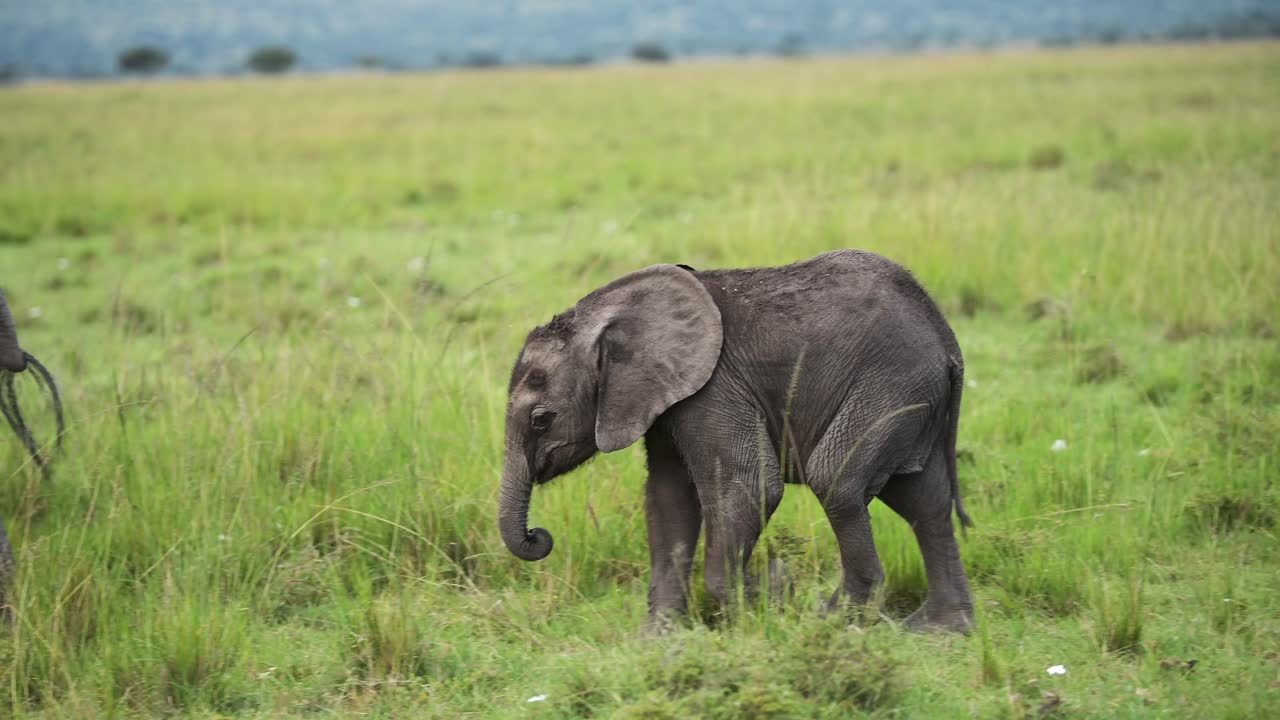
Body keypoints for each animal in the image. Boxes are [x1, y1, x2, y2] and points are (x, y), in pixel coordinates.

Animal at [497, 248, 976, 634]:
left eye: (541, 420)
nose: (538, 535)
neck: (605, 313)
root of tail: (947, 338)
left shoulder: (713, 389)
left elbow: (748, 485)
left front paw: (775, 597)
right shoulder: (662, 400)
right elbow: (668, 501)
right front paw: (657, 639)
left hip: (892, 384)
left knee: (837, 480)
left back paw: (833, 619)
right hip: (913, 395)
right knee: (925, 501)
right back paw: (940, 631)